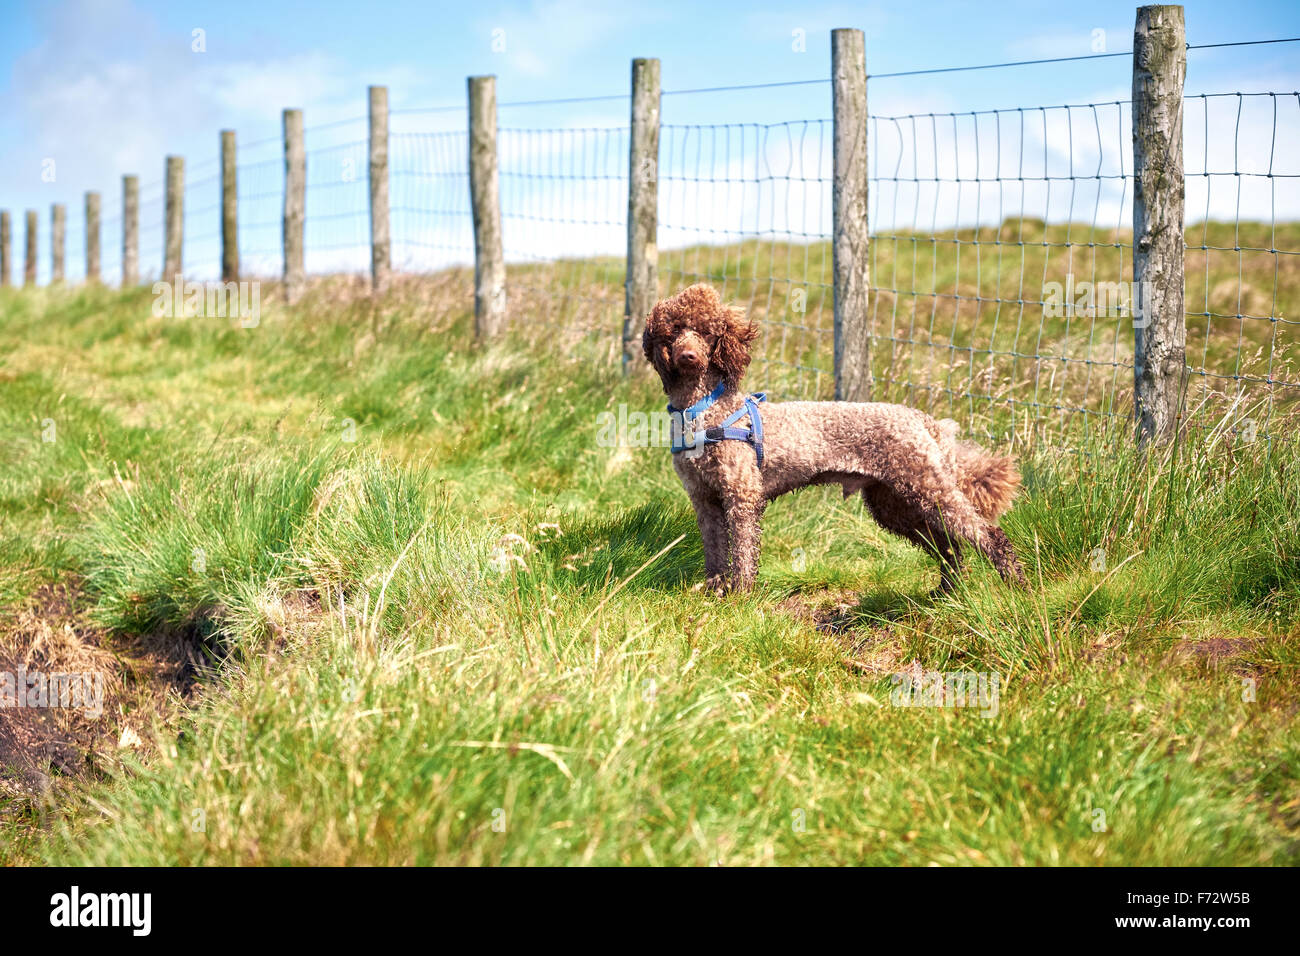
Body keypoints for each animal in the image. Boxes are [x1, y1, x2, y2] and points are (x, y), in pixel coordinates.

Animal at [639, 283, 1024, 595]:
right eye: (675, 330)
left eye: (707, 332)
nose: (688, 356)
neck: (701, 409)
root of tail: (922, 419)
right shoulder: (704, 499)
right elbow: (715, 552)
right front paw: (715, 592)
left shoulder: (742, 495)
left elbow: (744, 553)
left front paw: (741, 596)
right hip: (894, 503)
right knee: (948, 546)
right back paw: (947, 592)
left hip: (928, 488)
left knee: (984, 534)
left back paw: (1015, 585)